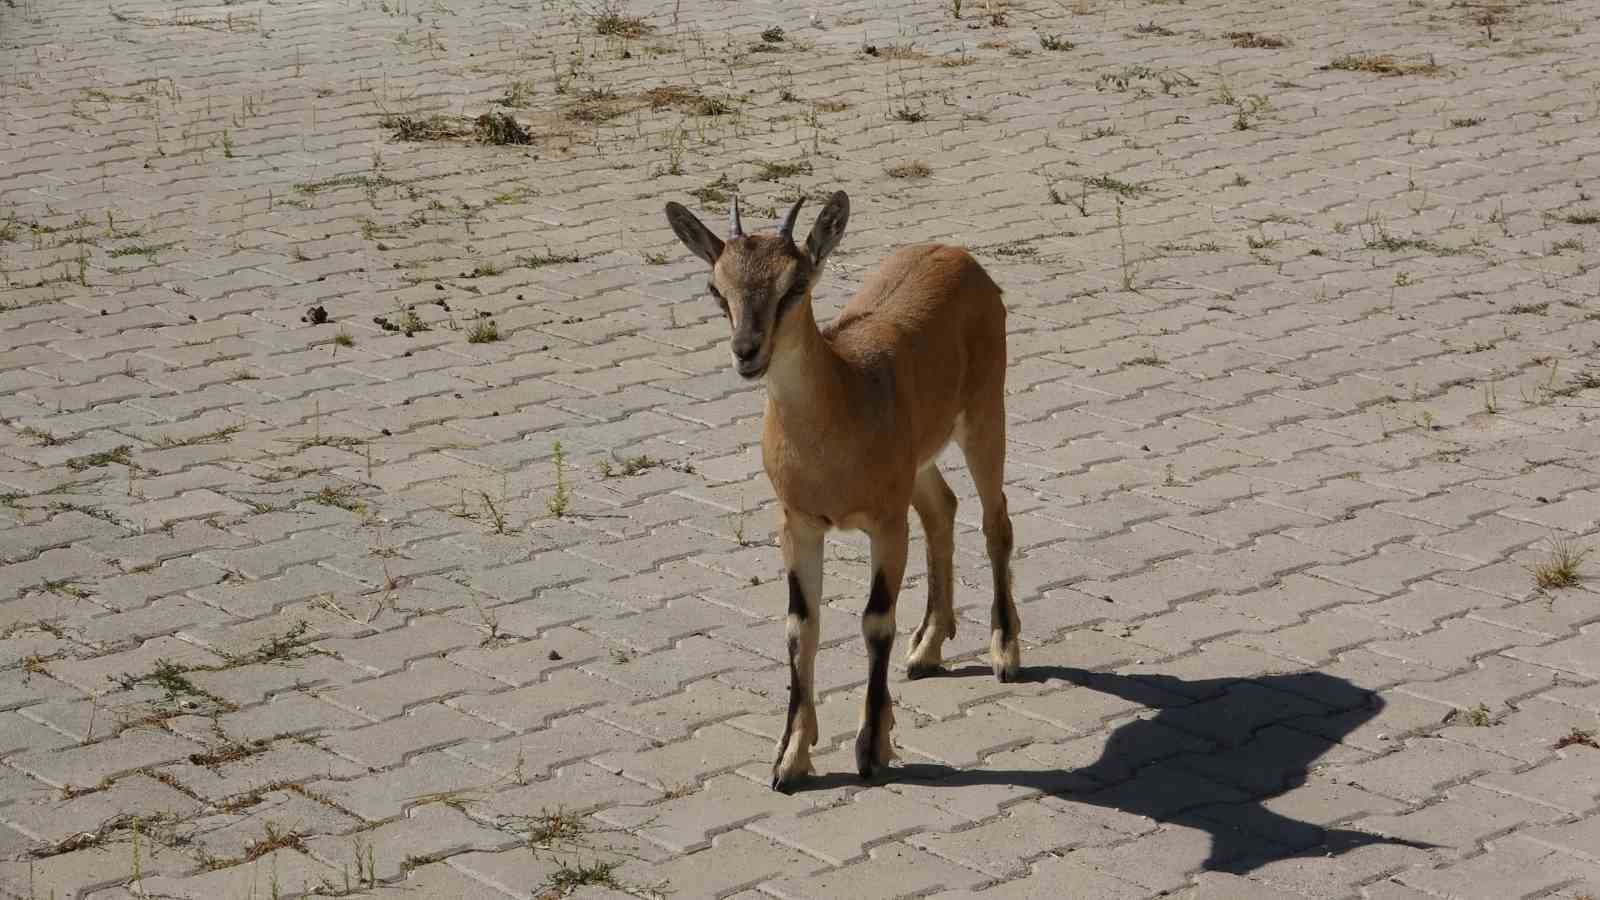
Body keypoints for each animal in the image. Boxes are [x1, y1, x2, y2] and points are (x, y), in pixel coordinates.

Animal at [665, 188, 1017, 784]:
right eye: (716, 287)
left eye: (795, 284)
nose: (746, 350)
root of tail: (960, 256)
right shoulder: (798, 522)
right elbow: (800, 625)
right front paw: (790, 758)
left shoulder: (885, 523)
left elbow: (876, 620)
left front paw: (871, 748)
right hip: (918, 462)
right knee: (942, 508)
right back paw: (927, 649)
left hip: (984, 413)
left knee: (997, 521)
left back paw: (1005, 653)